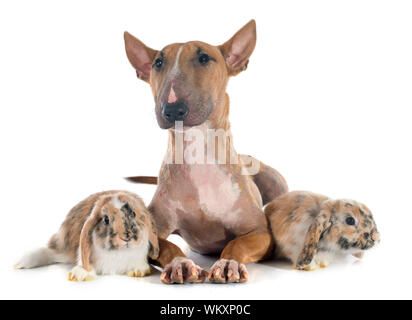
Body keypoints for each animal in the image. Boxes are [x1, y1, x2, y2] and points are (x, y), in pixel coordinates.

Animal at [14, 191, 159, 282]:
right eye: (106, 219)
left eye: (133, 214)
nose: (127, 237)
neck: (119, 253)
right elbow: (84, 262)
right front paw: (79, 275)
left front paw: (138, 271)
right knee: (49, 253)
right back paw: (21, 263)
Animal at [124, 20, 288, 284]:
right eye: (158, 63)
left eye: (203, 58)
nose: (172, 109)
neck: (196, 151)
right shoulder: (151, 231)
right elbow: (168, 246)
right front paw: (180, 264)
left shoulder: (261, 233)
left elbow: (238, 244)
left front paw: (228, 263)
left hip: (276, 183)